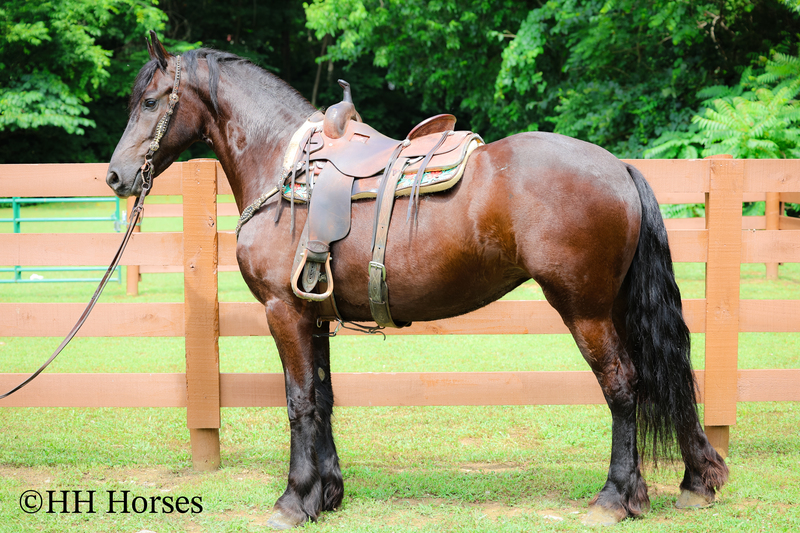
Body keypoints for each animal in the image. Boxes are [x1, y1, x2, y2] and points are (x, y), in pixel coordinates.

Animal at [106, 33, 728, 528]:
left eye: (150, 101)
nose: (115, 176)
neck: (284, 169)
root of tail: (618, 166)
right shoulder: (315, 314)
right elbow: (323, 398)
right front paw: (327, 495)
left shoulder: (284, 311)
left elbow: (299, 401)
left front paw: (293, 500)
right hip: (615, 306)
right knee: (658, 376)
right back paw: (693, 482)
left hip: (585, 309)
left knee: (622, 386)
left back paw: (616, 497)